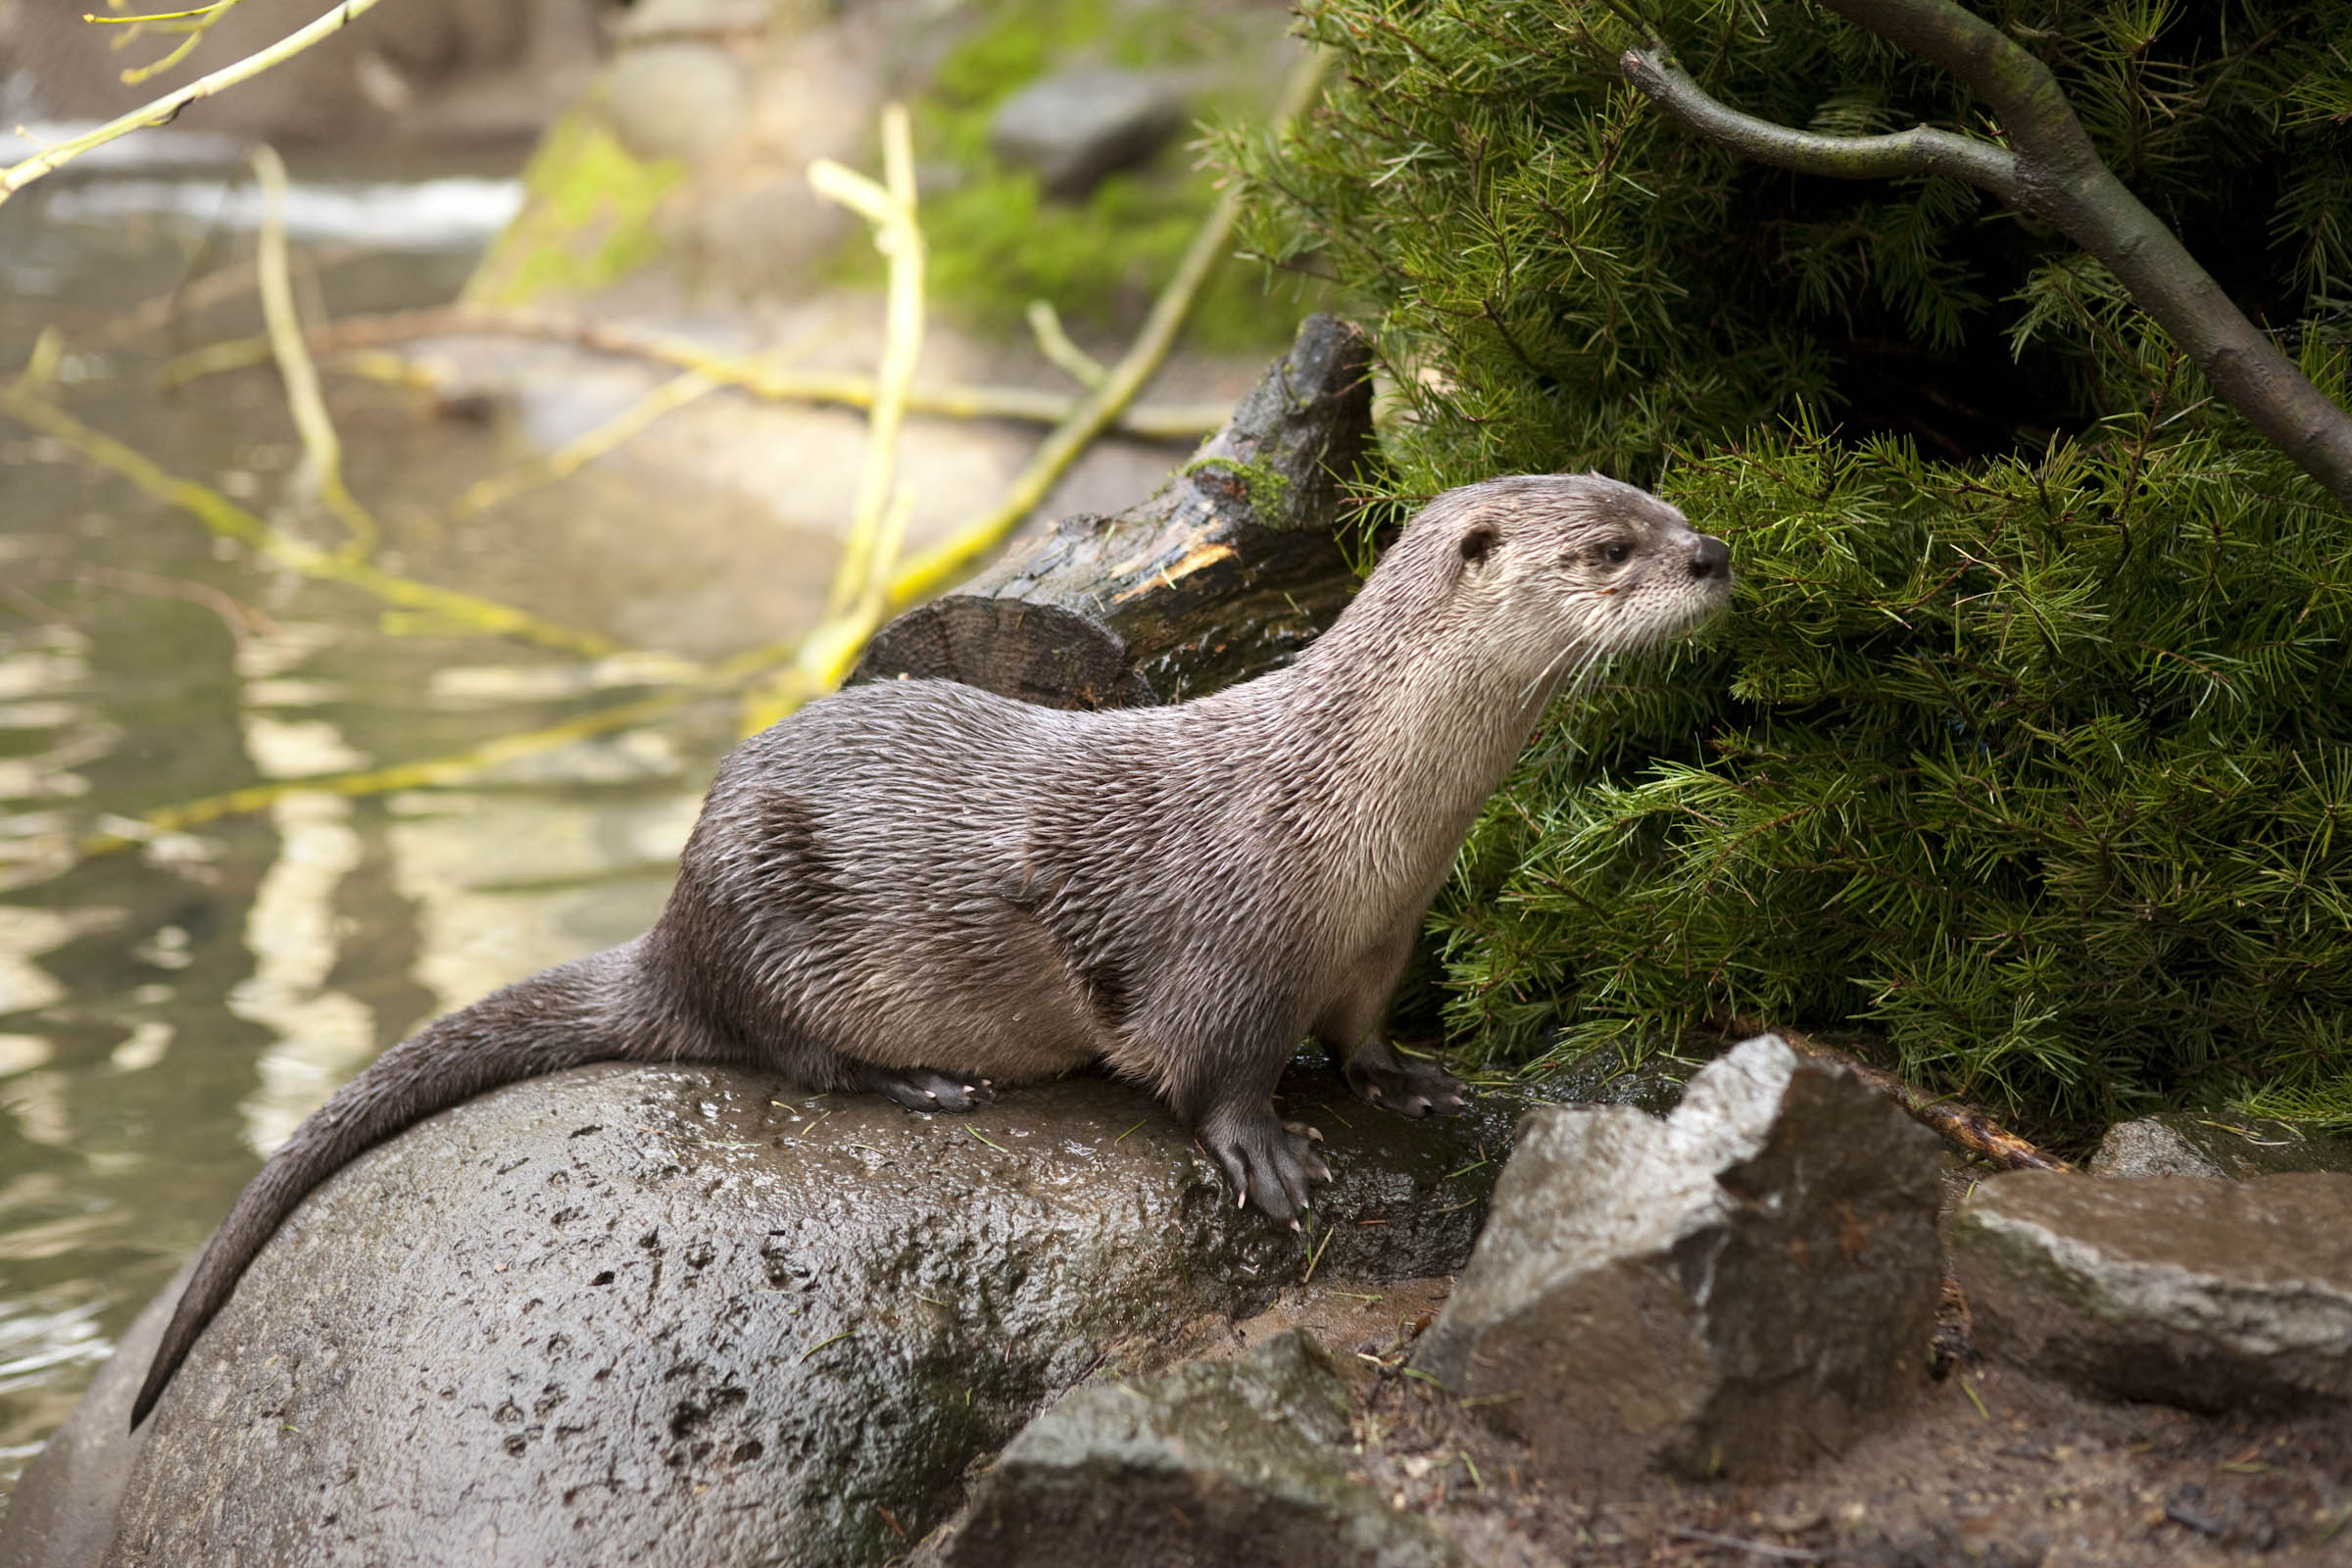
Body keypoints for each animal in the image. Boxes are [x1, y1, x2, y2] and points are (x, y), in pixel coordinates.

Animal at [133, 469, 1731, 1439]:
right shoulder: (1229, 945)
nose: (1715, 554)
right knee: (779, 1050)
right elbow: (1209, 1069)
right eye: (1610, 550)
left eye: (1661, 500)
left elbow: (1363, 1033)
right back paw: (921, 1086)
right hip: (762, 908)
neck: (1353, 815)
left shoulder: (1375, 943)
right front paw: (1268, 1155)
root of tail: (674, 923)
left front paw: (1416, 1082)